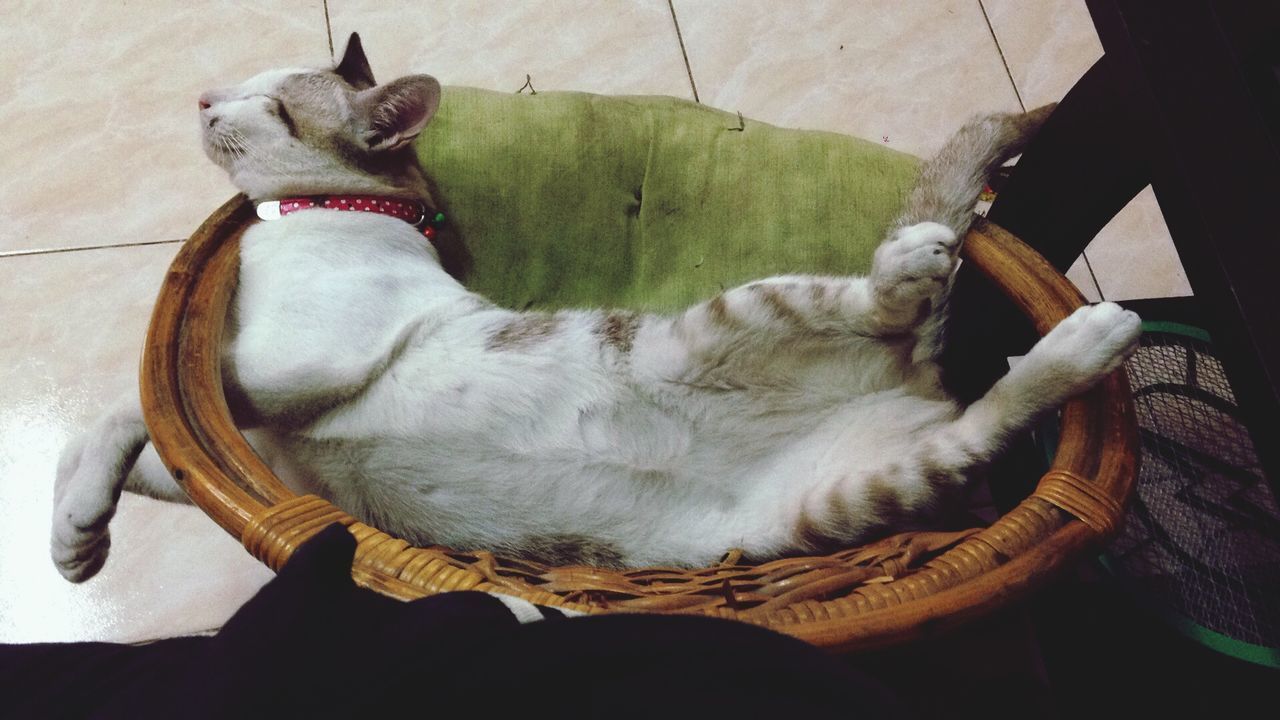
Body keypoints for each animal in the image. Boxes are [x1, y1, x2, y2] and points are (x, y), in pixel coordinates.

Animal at [47, 35, 1141, 584]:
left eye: (274, 105)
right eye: (241, 84)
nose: (203, 96)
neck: (322, 215)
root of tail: (908, 380)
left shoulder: (290, 368)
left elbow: (121, 406)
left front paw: (75, 530)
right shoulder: (246, 446)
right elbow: (128, 447)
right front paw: (76, 532)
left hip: (723, 321)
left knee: (896, 297)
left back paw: (937, 264)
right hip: (851, 492)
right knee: (985, 416)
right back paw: (1082, 341)